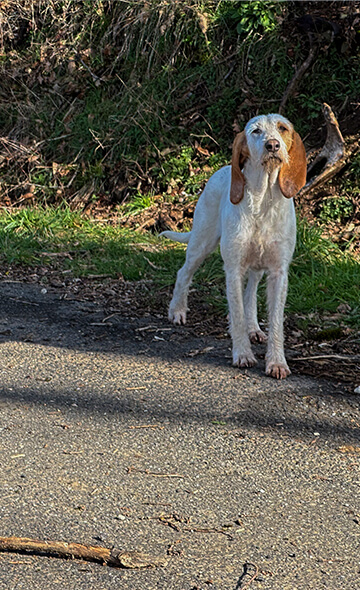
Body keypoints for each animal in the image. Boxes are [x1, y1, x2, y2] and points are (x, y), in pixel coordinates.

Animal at [162, 115, 306, 382]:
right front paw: (242, 354)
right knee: (184, 273)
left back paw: (254, 328)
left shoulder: (278, 272)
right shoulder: (233, 269)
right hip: (201, 242)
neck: (262, 199)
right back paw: (177, 310)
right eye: (256, 131)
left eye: (282, 128)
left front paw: (276, 362)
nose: (272, 145)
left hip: (256, 266)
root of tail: (223, 169)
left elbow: (275, 321)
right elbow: (236, 314)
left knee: (250, 293)